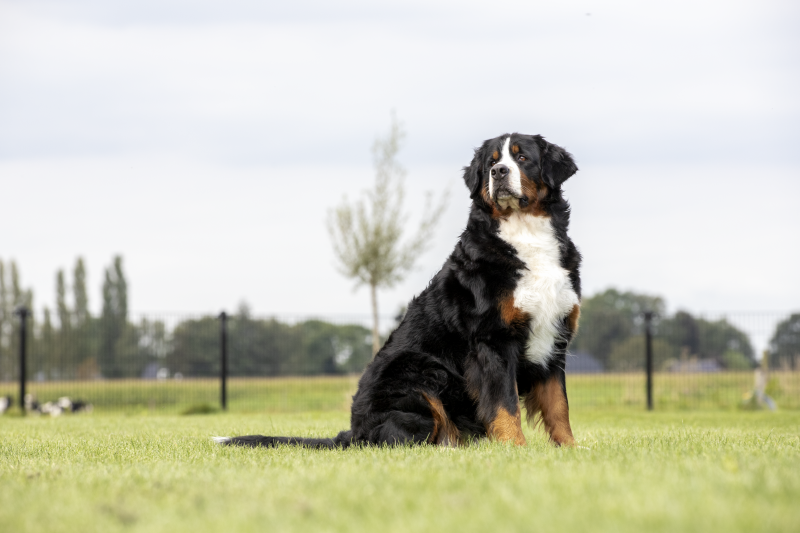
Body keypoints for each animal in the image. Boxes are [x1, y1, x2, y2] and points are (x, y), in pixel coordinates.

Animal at [217, 133, 581, 448]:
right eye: (492, 162)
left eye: (522, 157)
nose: (499, 172)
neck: (525, 237)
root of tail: (354, 432)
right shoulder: (494, 340)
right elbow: (504, 404)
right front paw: (514, 448)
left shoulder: (555, 338)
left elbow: (559, 406)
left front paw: (570, 449)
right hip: (418, 375)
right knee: (401, 439)